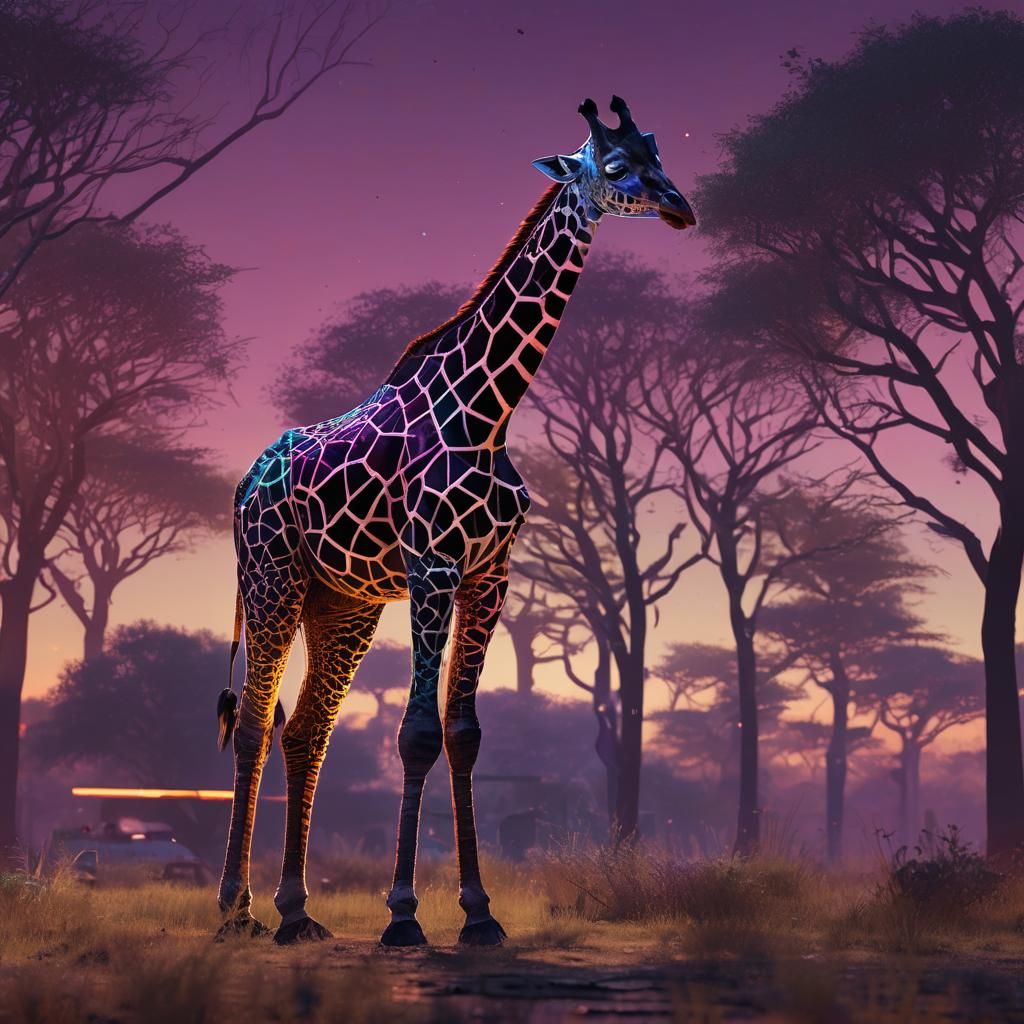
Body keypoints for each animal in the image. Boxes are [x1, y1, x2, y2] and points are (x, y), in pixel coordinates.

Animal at [215, 96, 695, 947]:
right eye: (614, 166)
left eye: (657, 151)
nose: (681, 207)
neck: (488, 410)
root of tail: (242, 487)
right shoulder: (432, 564)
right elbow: (415, 734)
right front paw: (405, 914)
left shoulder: (488, 575)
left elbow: (463, 735)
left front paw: (478, 913)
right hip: (271, 578)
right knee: (252, 725)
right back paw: (235, 910)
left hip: (343, 601)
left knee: (306, 731)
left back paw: (296, 911)